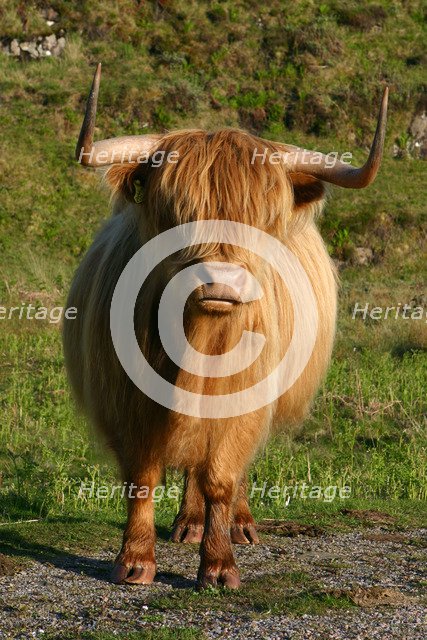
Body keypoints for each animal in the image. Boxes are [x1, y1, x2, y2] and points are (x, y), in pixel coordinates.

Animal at [63, 64, 387, 588]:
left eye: (262, 219)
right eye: (175, 211)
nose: (220, 280)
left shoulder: (245, 402)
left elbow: (221, 474)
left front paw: (218, 566)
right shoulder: (125, 401)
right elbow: (143, 477)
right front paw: (135, 560)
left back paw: (239, 525)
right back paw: (188, 523)